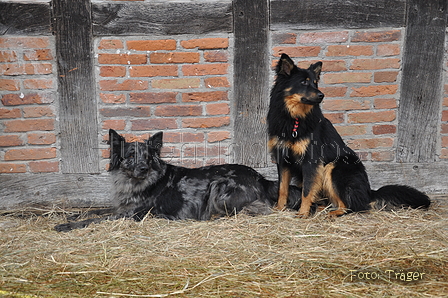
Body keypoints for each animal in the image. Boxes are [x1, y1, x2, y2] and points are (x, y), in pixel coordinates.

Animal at [54, 129, 302, 232]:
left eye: (147, 157)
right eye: (131, 156)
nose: (143, 168)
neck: (137, 182)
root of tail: (261, 178)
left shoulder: (130, 214)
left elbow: (96, 219)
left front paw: (68, 225)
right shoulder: (120, 207)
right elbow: (96, 210)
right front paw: (72, 215)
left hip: (219, 188)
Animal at [266, 53, 430, 217]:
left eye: (315, 83)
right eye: (304, 82)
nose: (321, 95)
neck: (294, 118)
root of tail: (369, 192)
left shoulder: (311, 161)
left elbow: (306, 191)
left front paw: (302, 213)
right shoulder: (283, 159)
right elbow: (282, 188)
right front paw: (279, 209)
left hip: (334, 168)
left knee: (351, 205)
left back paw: (333, 213)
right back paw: (320, 208)